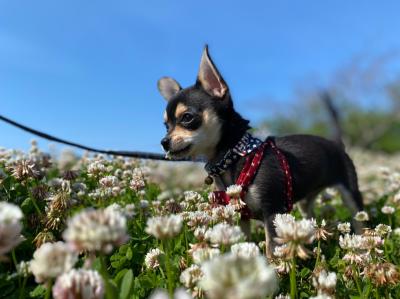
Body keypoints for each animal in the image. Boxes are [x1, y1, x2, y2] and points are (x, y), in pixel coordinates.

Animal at [158, 45, 364, 256]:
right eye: (166, 126)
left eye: (187, 118)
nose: (164, 142)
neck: (233, 157)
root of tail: (336, 143)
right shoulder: (241, 218)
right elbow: (242, 244)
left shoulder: (272, 212)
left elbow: (272, 249)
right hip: (306, 202)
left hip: (350, 191)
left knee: (358, 218)